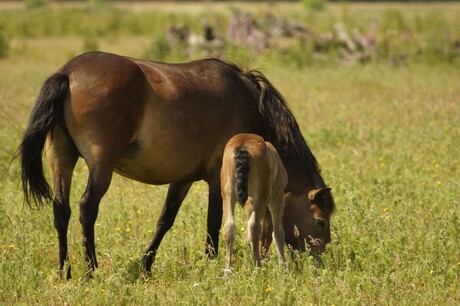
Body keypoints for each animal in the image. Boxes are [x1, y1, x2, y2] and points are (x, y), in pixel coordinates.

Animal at [220, 133, 288, 268]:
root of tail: (242, 145)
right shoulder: (277, 198)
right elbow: (278, 233)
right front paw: (283, 266)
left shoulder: (250, 202)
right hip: (261, 196)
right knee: (254, 226)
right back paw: (258, 267)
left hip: (228, 194)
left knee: (229, 227)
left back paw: (227, 270)